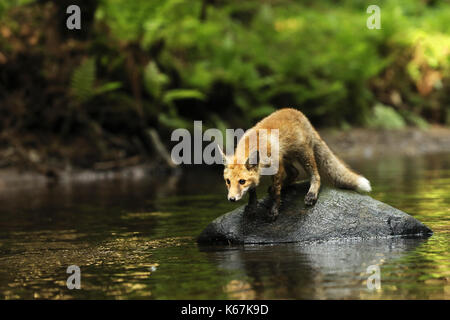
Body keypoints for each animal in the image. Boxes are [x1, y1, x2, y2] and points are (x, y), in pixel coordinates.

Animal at [220, 107, 370, 220]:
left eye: (241, 181)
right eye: (228, 181)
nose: (231, 199)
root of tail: (299, 113)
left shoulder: (277, 168)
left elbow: (277, 194)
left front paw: (274, 210)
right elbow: (253, 192)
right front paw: (252, 207)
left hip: (304, 156)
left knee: (316, 176)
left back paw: (311, 193)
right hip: (287, 158)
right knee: (294, 173)